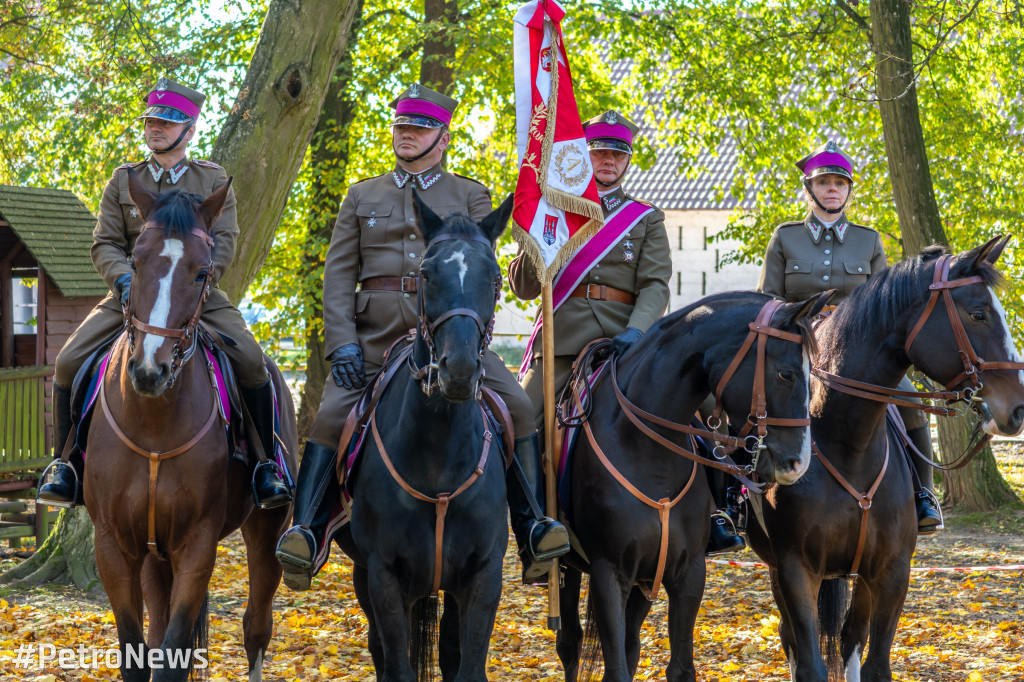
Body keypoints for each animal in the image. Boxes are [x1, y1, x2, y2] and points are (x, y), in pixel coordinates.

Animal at [83, 171, 296, 679]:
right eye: (135, 263)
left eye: (202, 272)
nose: (149, 370)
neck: (154, 422)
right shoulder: (114, 547)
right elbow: (139, 653)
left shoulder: (197, 547)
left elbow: (174, 654)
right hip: (154, 557)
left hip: (265, 536)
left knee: (257, 626)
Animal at [337, 193, 516, 675]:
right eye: (428, 274)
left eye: (495, 277)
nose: (459, 371)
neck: (440, 452)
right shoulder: (383, 575)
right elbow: (396, 663)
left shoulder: (483, 575)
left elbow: (468, 664)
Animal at [552, 288, 831, 679]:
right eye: (786, 374)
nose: (799, 463)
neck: (646, 449)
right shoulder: (609, 574)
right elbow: (615, 668)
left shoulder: (687, 572)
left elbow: (679, 667)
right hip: (570, 570)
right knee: (571, 643)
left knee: (630, 644)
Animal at [745, 235, 1024, 679]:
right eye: (978, 314)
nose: (1017, 408)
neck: (848, 444)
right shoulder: (794, 569)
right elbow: (808, 660)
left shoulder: (891, 572)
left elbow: (872, 660)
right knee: (791, 640)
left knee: (850, 638)